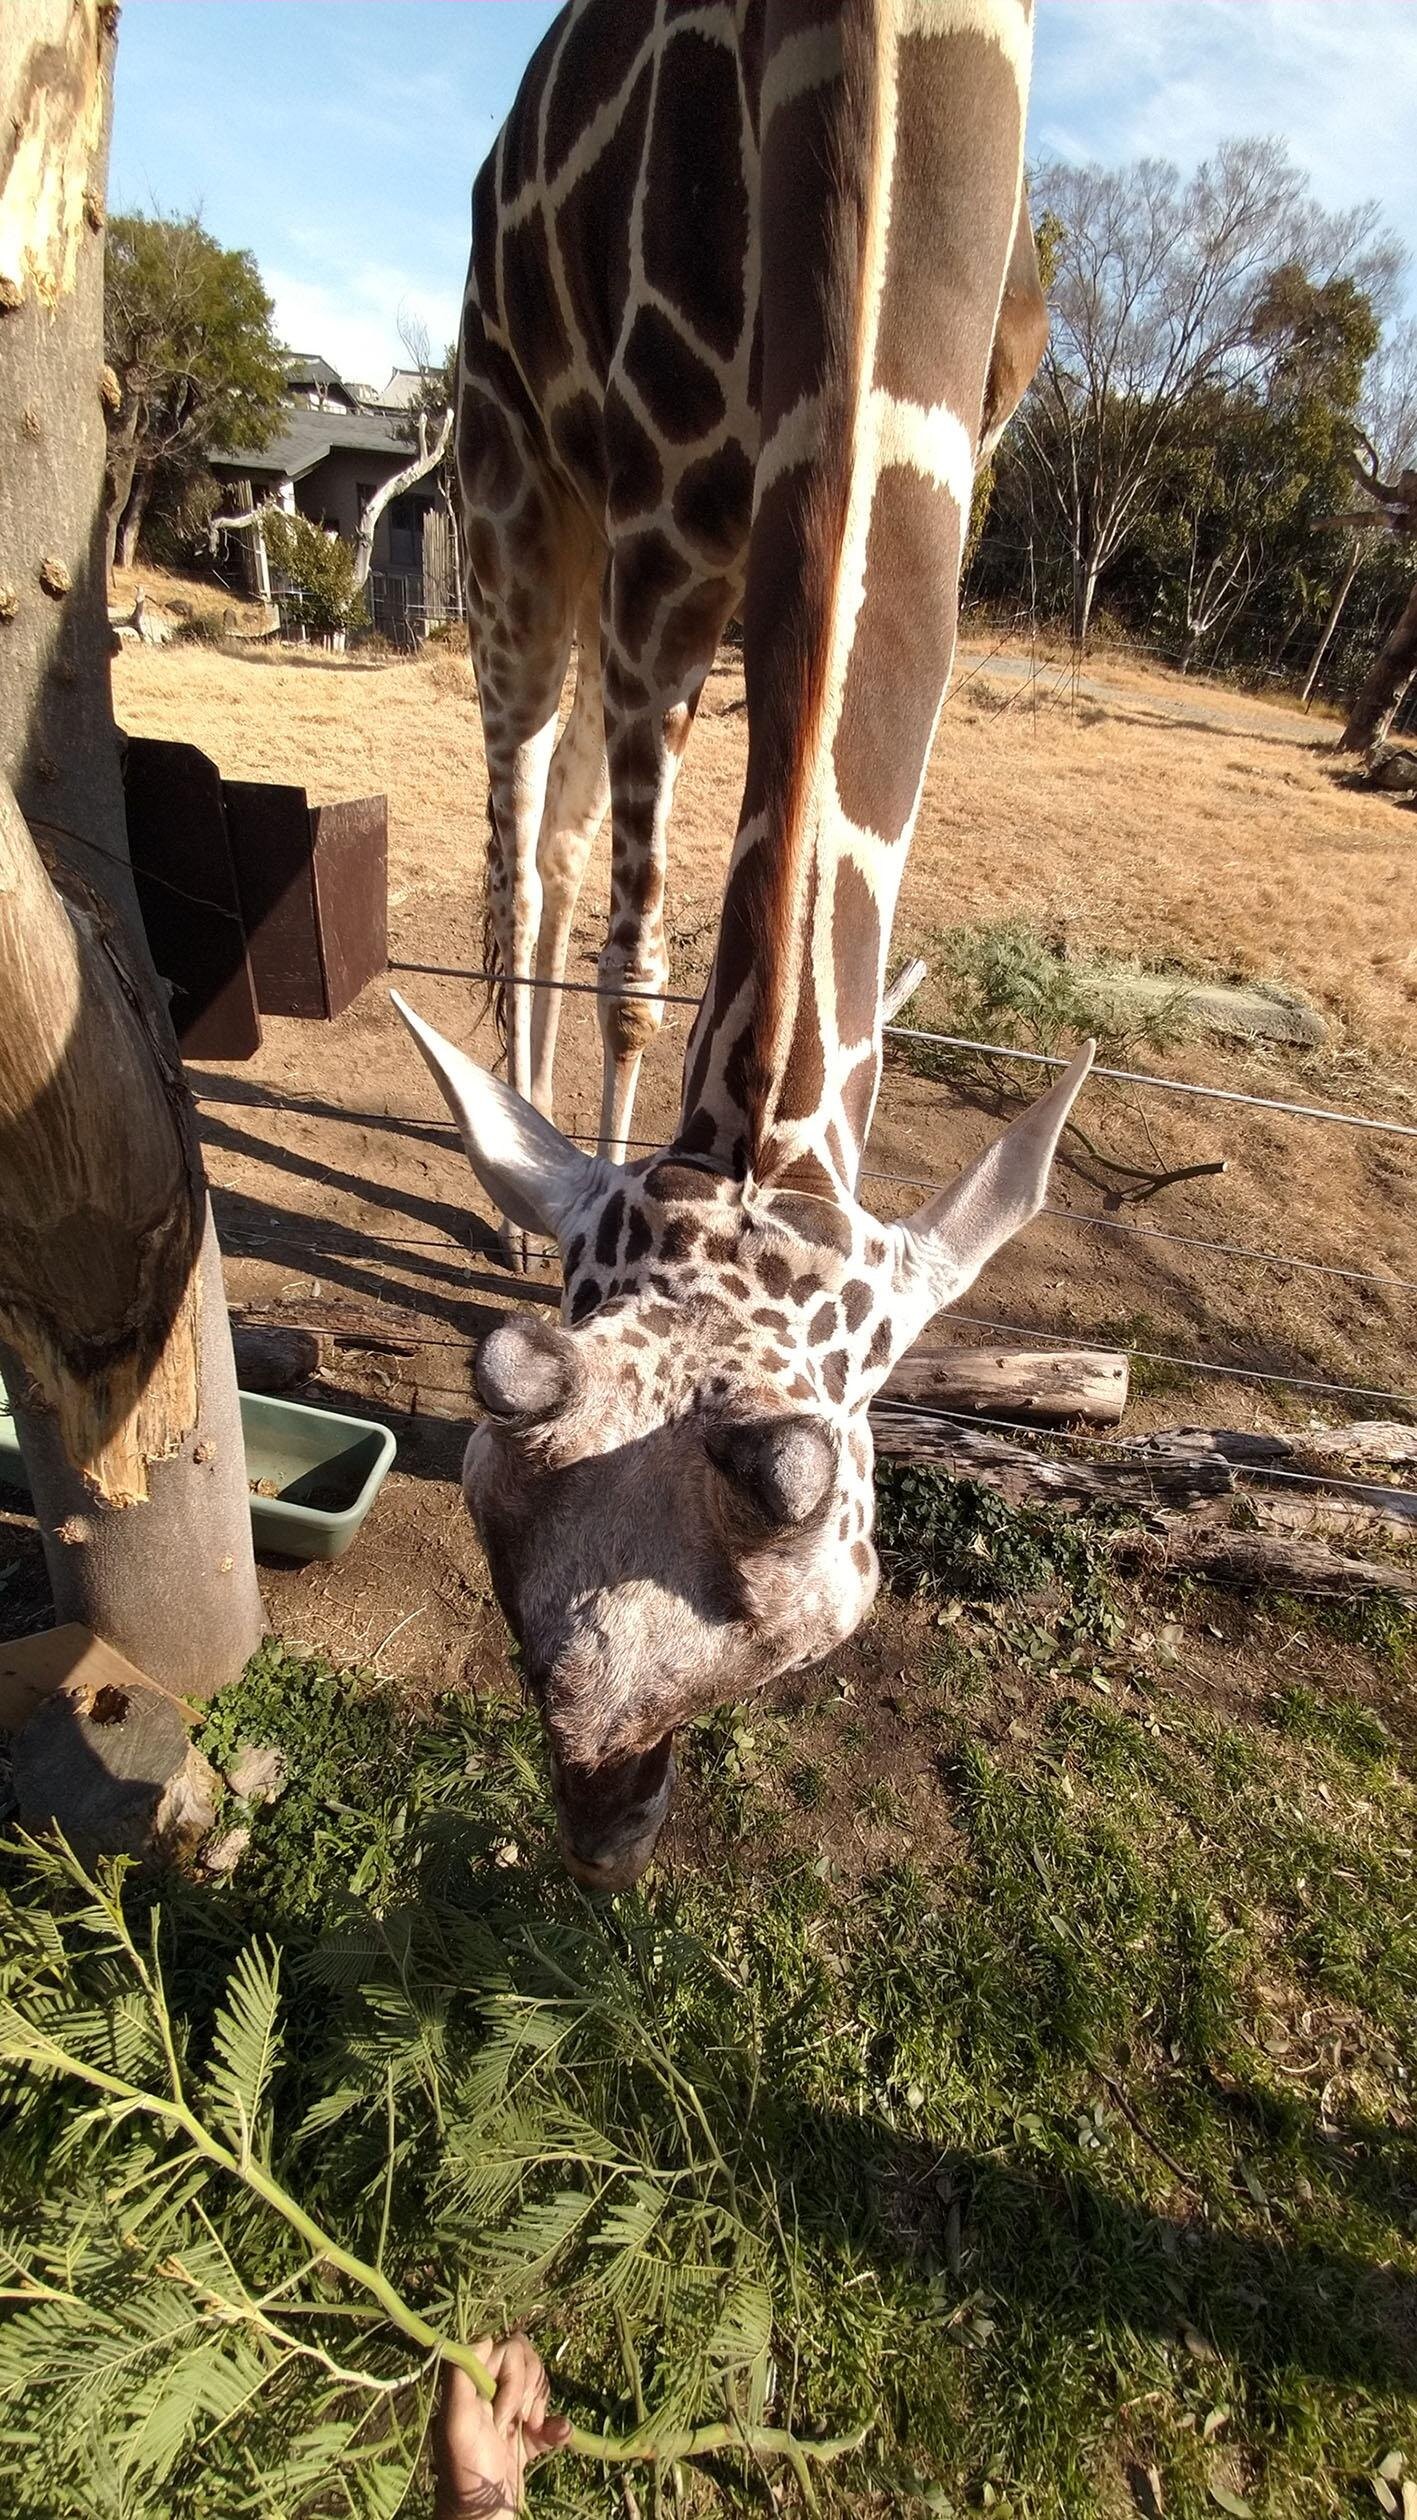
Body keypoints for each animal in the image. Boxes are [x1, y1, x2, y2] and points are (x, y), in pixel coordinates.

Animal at [398, 0, 1094, 1895]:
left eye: (812, 1622)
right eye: (486, 1534)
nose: (603, 1835)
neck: (903, 64)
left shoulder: (965, 455)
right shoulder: (649, 535)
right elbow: (640, 950)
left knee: (568, 831)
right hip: (513, 487)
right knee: (527, 829)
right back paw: (507, 1155)